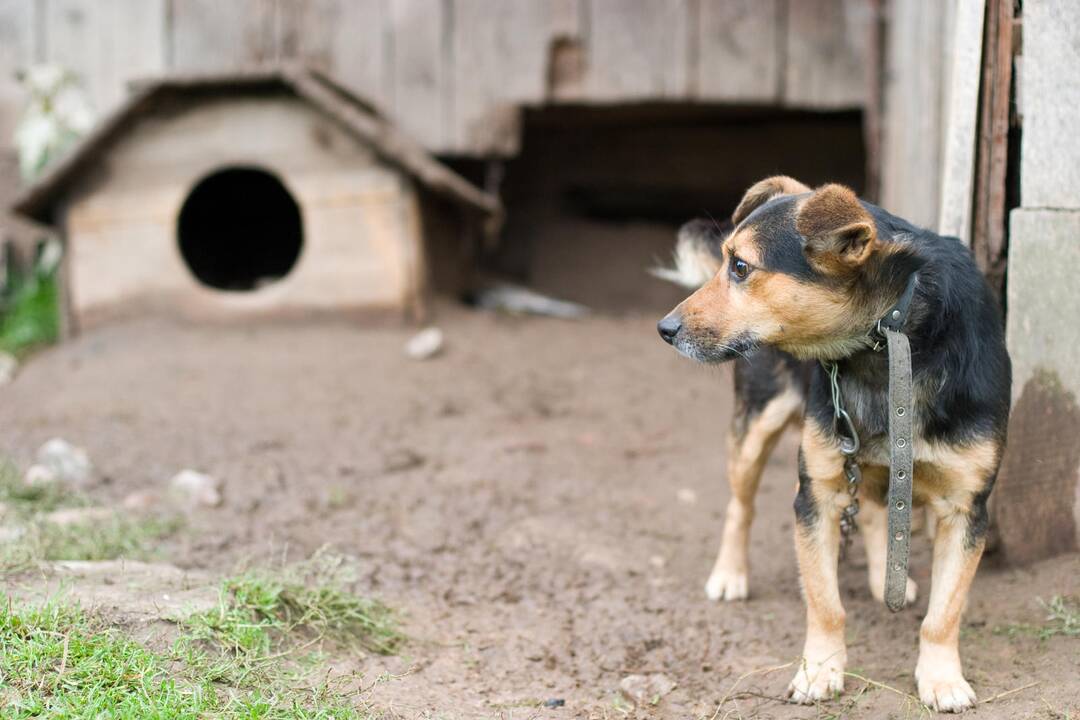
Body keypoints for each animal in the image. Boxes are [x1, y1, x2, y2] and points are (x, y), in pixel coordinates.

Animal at [652, 177, 1015, 712]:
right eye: (724, 262)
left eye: (740, 267)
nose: (665, 329)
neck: (891, 337)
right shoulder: (817, 495)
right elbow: (825, 604)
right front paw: (820, 670)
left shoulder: (966, 507)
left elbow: (943, 613)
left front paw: (942, 678)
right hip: (759, 426)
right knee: (741, 504)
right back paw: (729, 574)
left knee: (875, 509)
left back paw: (887, 577)